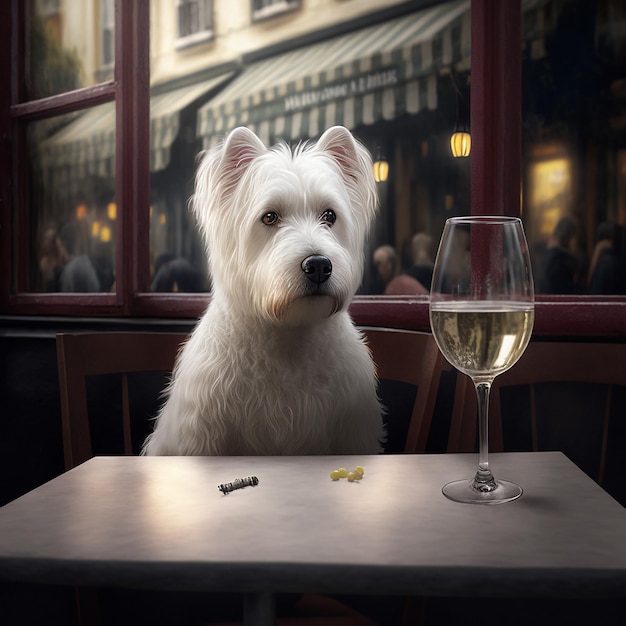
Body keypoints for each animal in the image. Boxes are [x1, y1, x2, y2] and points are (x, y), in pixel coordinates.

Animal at [141, 125, 382, 454]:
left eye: (330, 215)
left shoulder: (352, 431)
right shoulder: (200, 435)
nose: (319, 265)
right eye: (269, 217)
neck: (289, 338)